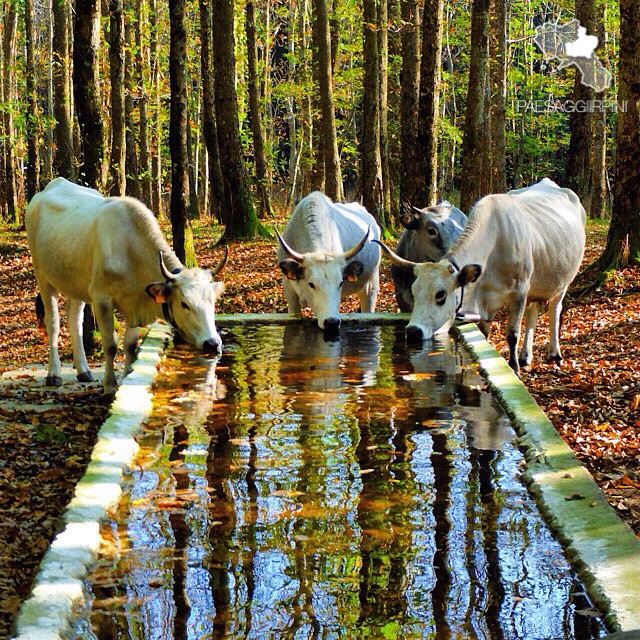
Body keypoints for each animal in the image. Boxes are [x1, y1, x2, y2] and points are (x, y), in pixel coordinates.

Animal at [27, 178, 228, 392]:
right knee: (53, 322)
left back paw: (83, 370)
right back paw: (54, 373)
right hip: (43, 277)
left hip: (75, 283)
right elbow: (111, 345)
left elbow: (131, 345)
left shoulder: (136, 304)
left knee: (75, 319)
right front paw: (109, 386)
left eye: (213, 302)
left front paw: (126, 378)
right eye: (185, 304)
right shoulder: (101, 300)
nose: (212, 343)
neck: (130, 249)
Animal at [376, 178, 584, 372]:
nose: (413, 331)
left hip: (562, 284)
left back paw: (554, 355)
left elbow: (512, 334)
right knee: (533, 314)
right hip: (536, 286)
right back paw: (526, 357)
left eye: (440, 295)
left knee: (554, 310)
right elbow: (485, 333)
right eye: (415, 291)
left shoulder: (519, 293)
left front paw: (513, 367)